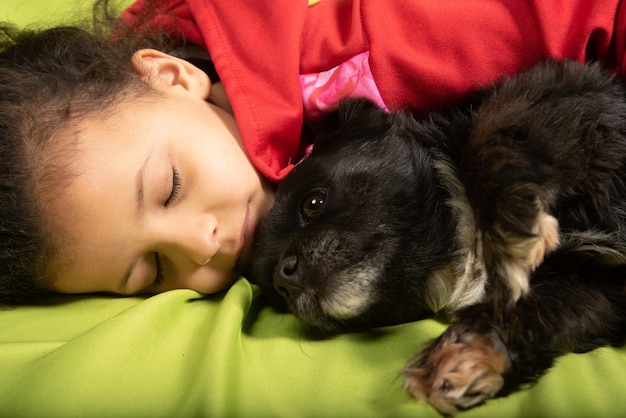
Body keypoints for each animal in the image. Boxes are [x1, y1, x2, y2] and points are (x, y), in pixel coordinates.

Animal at [246, 60, 624, 416]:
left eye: (312, 203)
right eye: (277, 295)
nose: (285, 276)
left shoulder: (568, 93)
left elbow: (495, 130)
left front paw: (512, 227)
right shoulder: (596, 288)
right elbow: (542, 309)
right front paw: (469, 353)